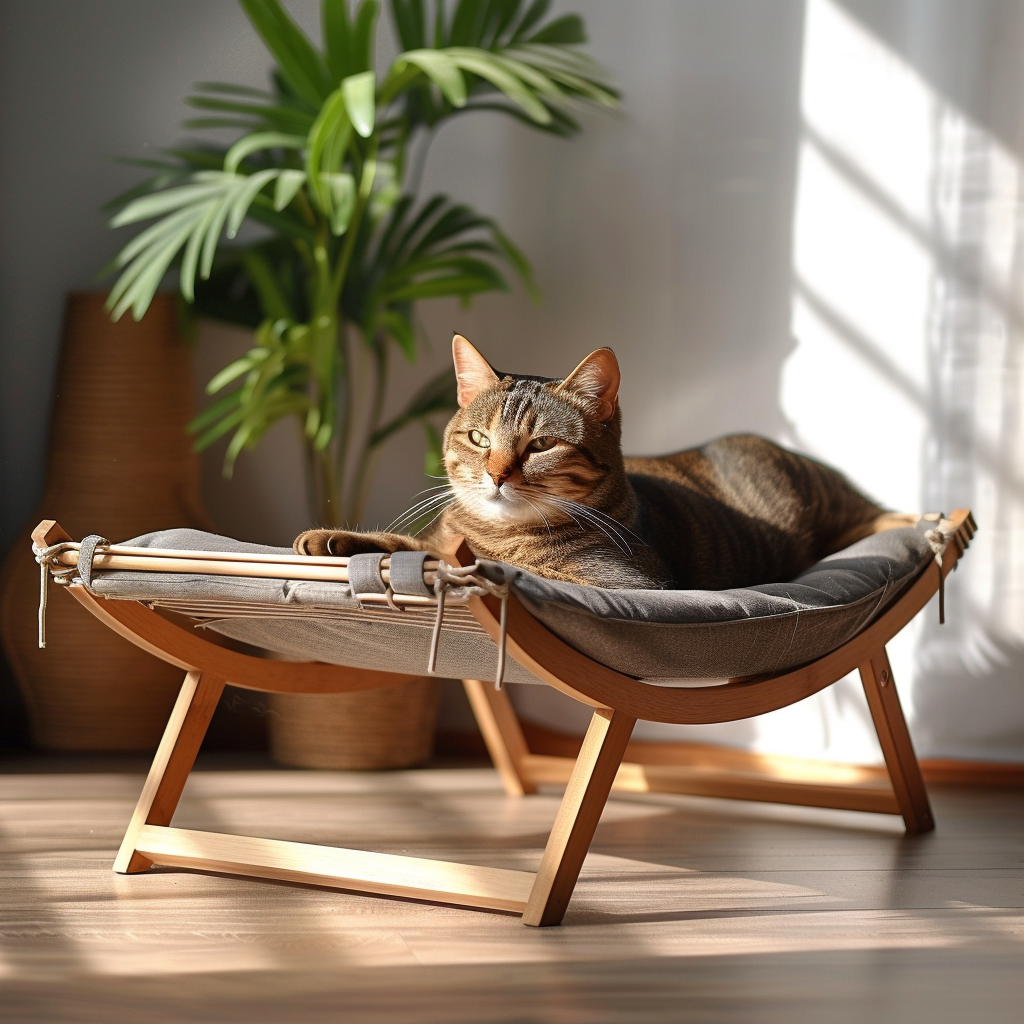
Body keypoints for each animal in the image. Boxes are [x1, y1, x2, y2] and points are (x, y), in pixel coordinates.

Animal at [294, 337, 913, 585]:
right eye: (477, 438)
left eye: (540, 445)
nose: (496, 474)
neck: (496, 532)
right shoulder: (442, 537)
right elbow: (414, 545)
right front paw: (335, 538)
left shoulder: (626, 581)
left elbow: (485, 563)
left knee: (876, 513)